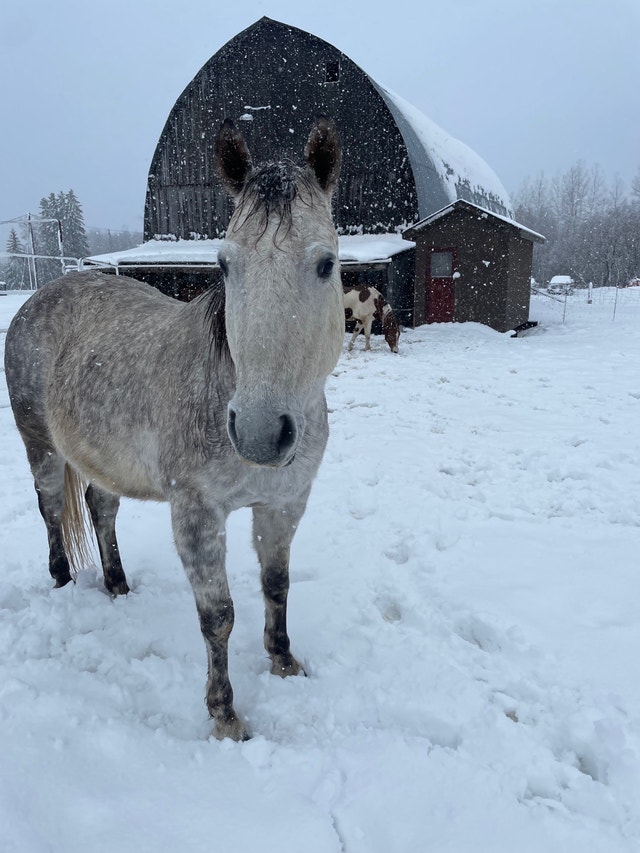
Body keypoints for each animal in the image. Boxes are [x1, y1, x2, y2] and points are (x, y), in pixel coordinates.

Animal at [4, 116, 344, 742]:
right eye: (225, 264)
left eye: (326, 263)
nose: (258, 433)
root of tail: (40, 295)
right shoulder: (196, 512)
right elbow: (219, 615)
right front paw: (226, 716)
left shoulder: (285, 502)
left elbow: (276, 584)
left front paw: (285, 662)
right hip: (40, 446)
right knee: (50, 507)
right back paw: (62, 582)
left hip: (101, 457)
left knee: (100, 508)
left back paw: (116, 585)